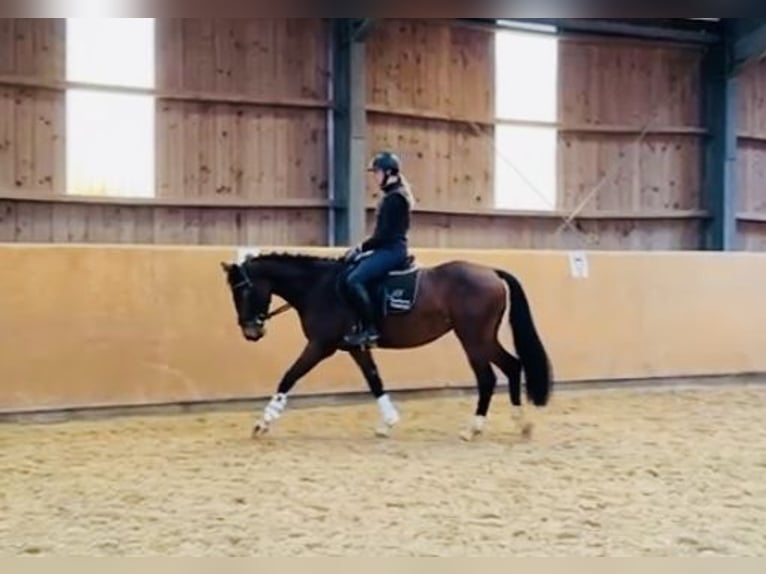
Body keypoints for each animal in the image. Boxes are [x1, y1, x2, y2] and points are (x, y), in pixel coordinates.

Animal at [219, 250, 556, 444]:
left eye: (243, 291)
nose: (251, 331)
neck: (320, 287)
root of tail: (492, 272)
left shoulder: (320, 345)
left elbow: (289, 376)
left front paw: (262, 423)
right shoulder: (355, 347)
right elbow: (374, 380)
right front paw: (388, 423)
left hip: (472, 338)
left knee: (488, 378)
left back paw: (472, 429)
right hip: (484, 338)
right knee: (512, 366)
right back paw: (522, 425)